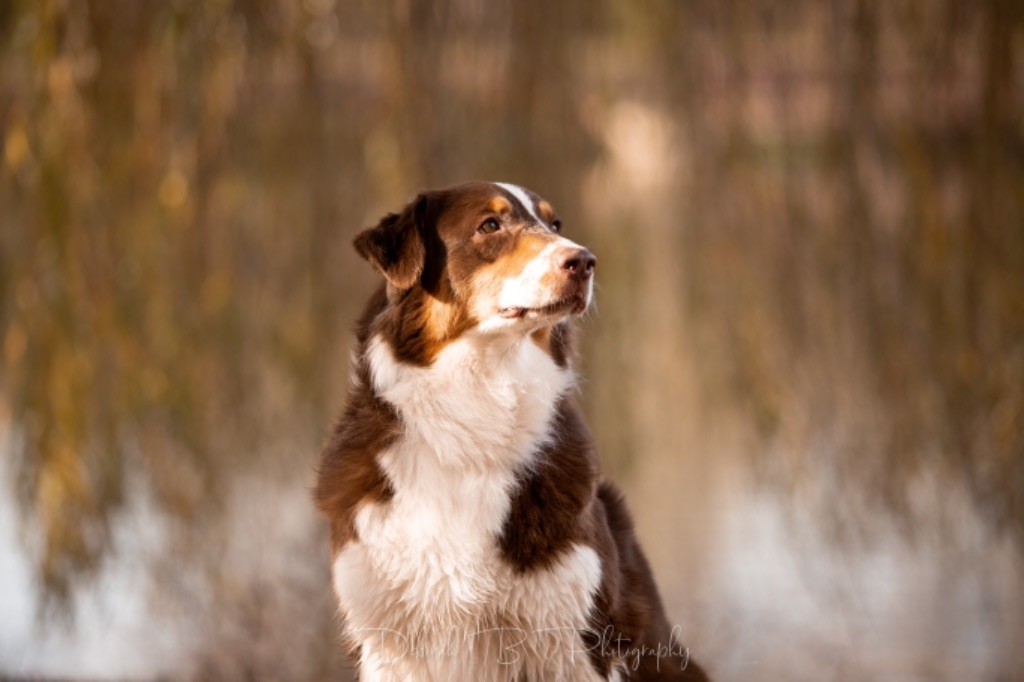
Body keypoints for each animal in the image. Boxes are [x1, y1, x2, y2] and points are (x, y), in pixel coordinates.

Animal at [315, 182, 708, 679]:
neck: (476, 413)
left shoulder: (572, 639)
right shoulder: (387, 640)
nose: (585, 261)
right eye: (490, 225)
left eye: (554, 224)